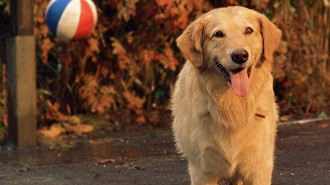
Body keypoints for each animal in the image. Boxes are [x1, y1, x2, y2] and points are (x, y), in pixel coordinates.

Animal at [171, 5, 282, 185]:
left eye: (249, 30)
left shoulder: (258, 168)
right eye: (218, 34)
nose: (240, 55)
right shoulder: (202, 171)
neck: (233, 105)